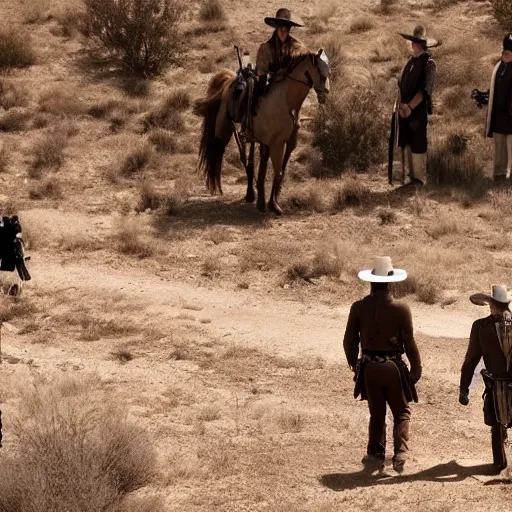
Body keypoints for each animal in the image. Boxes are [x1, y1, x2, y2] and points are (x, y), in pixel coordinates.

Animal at [194, 49, 330, 214]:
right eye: (321, 73)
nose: (325, 95)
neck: (285, 101)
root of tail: (229, 80)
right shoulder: (276, 143)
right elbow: (276, 170)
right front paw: (272, 204)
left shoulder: (286, 142)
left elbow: (277, 169)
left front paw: (271, 198)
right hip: (229, 129)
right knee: (242, 157)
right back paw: (251, 194)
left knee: (252, 160)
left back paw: (255, 194)